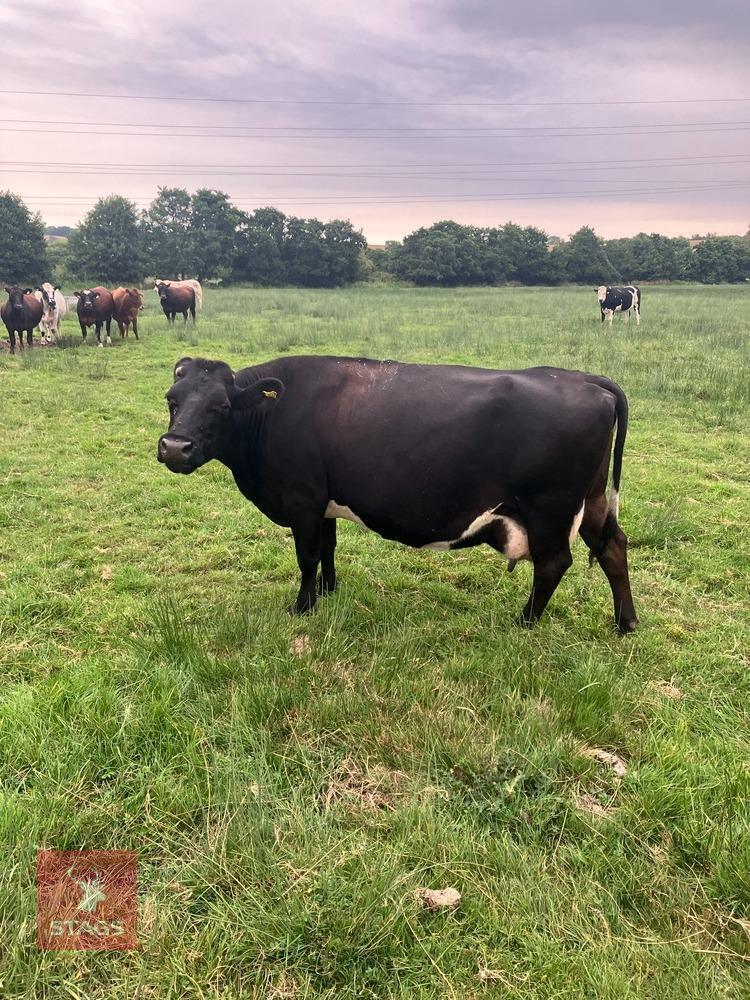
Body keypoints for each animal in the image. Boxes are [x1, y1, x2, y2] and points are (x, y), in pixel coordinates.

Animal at [157, 356, 638, 633]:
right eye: (171, 399)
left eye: (221, 406)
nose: (175, 447)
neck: (273, 412)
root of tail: (587, 381)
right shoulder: (324, 501)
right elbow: (328, 548)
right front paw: (329, 592)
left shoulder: (302, 498)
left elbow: (307, 555)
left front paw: (303, 607)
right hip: (592, 500)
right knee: (613, 546)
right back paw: (626, 622)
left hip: (549, 508)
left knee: (554, 563)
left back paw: (524, 622)